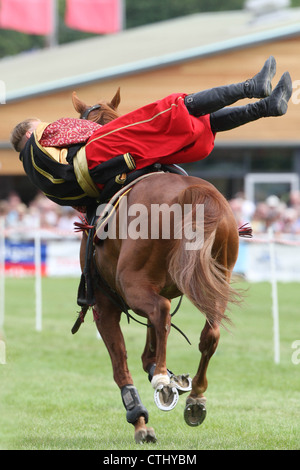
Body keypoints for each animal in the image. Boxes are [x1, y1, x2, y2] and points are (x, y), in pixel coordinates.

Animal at [71, 89, 245, 444]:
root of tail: (195, 194)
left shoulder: (105, 304)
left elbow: (121, 364)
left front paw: (140, 420)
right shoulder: (152, 290)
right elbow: (150, 348)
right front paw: (172, 381)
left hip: (134, 287)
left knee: (164, 311)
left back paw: (164, 380)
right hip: (217, 279)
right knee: (210, 333)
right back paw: (195, 397)